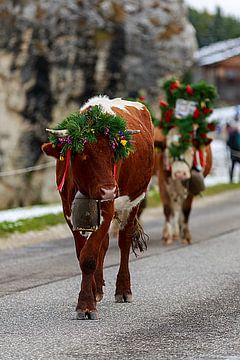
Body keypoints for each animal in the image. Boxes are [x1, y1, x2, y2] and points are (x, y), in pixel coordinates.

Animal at [41, 95, 154, 318]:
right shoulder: (69, 213)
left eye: (114, 155)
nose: (109, 190)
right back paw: (99, 289)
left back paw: (123, 290)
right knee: (104, 244)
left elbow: (89, 257)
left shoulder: (108, 208)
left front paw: (86, 305)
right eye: (83, 154)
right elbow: (83, 254)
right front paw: (91, 295)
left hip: (134, 202)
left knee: (124, 242)